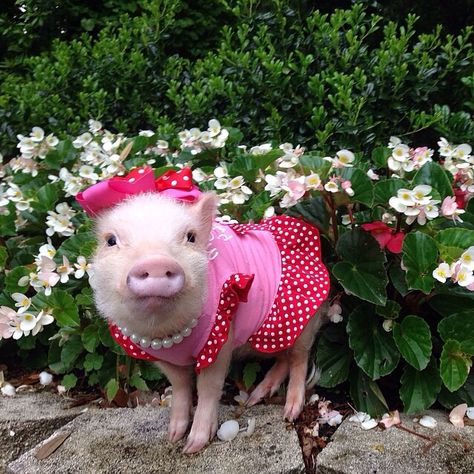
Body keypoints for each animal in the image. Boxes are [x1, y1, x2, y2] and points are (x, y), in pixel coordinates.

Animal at [78, 166, 330, 452]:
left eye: (190, 237)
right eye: (110, 240)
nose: (155, 262)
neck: (164, 330)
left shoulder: (220, 337)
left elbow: (209, 385)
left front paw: (193, 446)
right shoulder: (158, 355)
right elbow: (180, 385)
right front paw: (173, 436)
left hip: (301, 320)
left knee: (299, 358)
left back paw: (289, 412)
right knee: (283, 358)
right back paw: (255, 397)